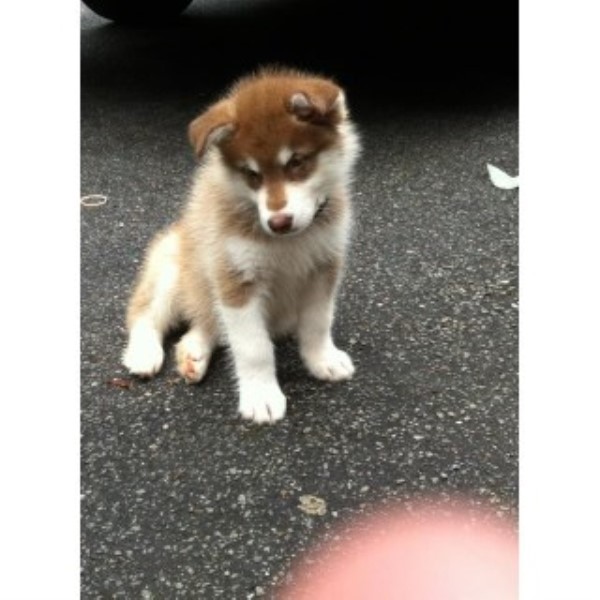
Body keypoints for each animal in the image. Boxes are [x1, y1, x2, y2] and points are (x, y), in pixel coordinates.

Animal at [119, 68, 358, 424]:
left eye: (297, 162)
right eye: (251, 174)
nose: (279, 222)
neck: (288, 243)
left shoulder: (323, 269)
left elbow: (318, 323)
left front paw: (322, 360)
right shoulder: (236, 280)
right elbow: (253, 347)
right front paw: (261, 396)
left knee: (205, 324)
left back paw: (192, 353)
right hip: (172, 270)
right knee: (146, 315)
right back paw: (144, 353)